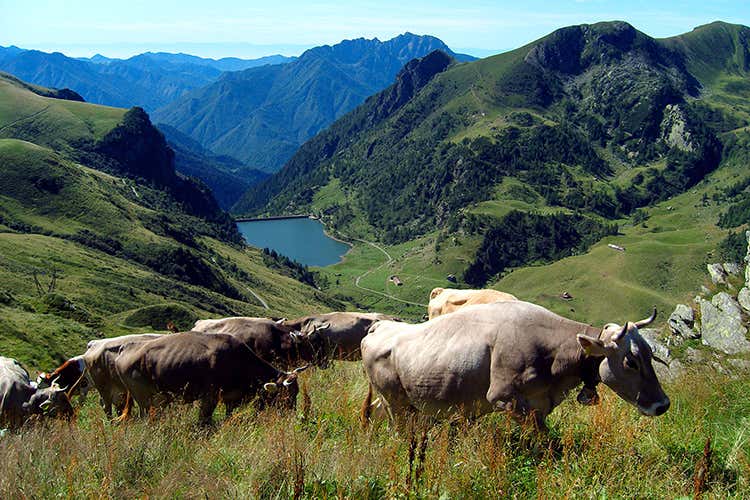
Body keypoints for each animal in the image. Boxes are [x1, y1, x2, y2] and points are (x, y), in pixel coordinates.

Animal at [115, 332, 308, 422]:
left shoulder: (231, 396)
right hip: (144, 398)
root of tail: (126, 348)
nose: (294, 416)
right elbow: (205, 418)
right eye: (286, 395)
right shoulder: (210, 395)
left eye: (297, 392)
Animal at [362, 300, 672, 430]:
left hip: (398, 401)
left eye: (650, 354)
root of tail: (380, 327)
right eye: (631, 361)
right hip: (397, 404)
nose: (663, 405)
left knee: (374, 412)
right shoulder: (503, 397)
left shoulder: (540, 403)